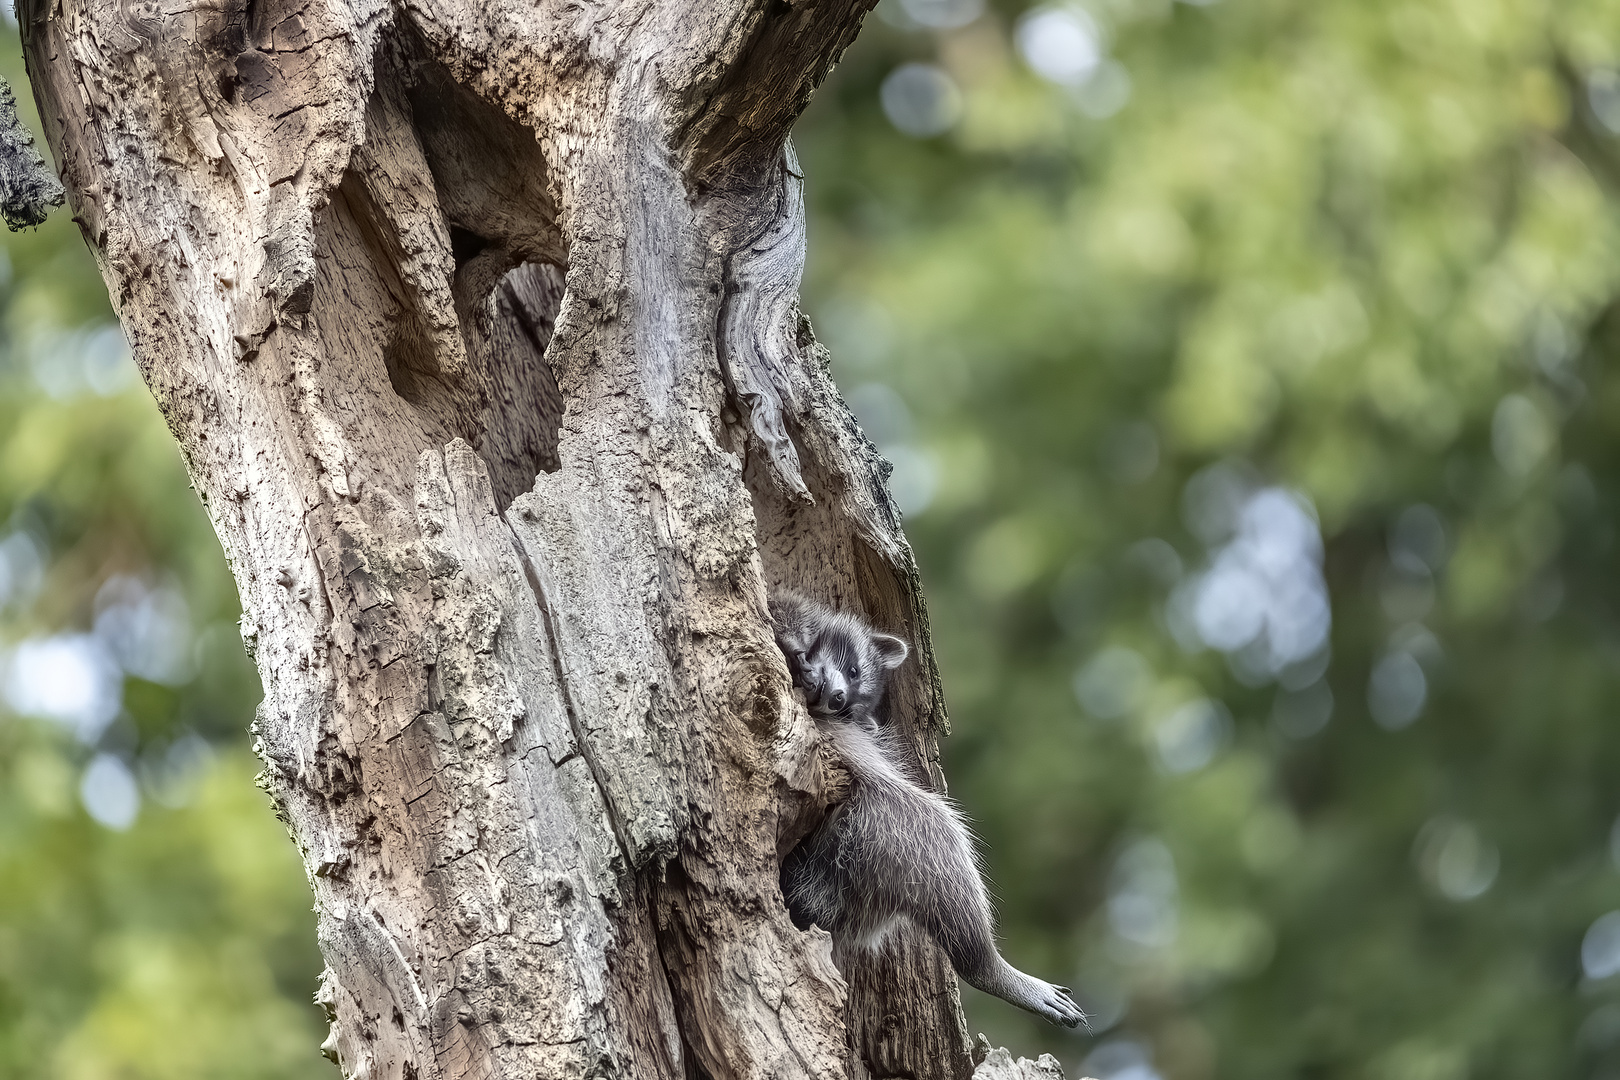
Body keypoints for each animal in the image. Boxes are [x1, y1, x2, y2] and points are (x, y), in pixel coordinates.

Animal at [764, 595, 1082, 1029]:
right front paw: (792, 641)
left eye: (855, 694)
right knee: (940, 834)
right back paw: (984, 965)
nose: (839, 699)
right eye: (852, 670)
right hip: (887, 827)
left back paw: (982, 963)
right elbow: (782, 611)